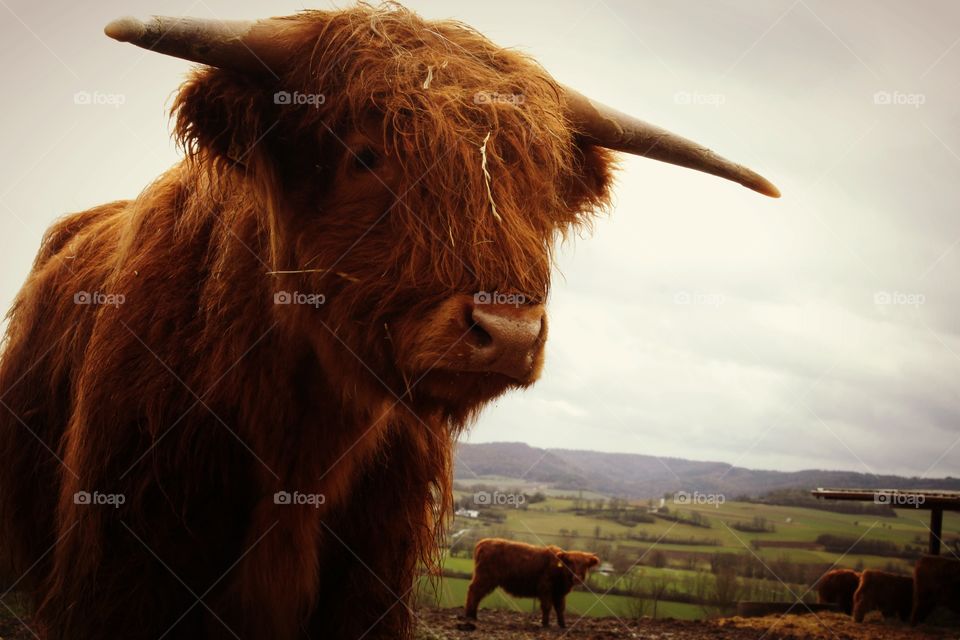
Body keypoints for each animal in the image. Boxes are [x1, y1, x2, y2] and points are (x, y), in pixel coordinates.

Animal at [464, 538, 599, 627]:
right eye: (570, 563)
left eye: (585, 565)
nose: (577, 578)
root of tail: (483, 542)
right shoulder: (545, 588)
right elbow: (547, 606)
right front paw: (545, 624)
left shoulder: (559, 593)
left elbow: (560, 608)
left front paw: (562, 625)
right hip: (484, 578)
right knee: (474, 592)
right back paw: (471, 616)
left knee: (476, 594)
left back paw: (473, 615)